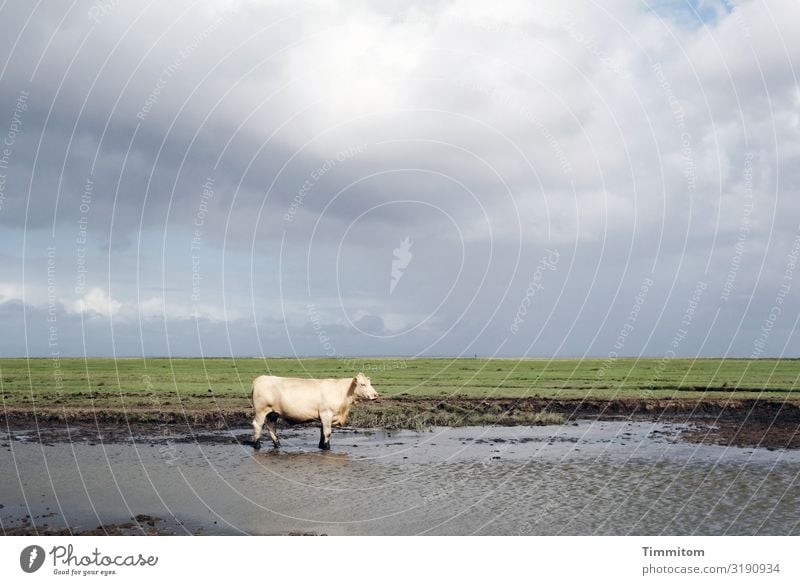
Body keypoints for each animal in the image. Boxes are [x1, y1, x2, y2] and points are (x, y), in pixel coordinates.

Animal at [250, 372, 378, 450]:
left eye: (370, 383)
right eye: (362, 384)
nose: (375, 395)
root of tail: (261, 378)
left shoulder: (324, 417)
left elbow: (322, 432)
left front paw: (321, 446)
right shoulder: (326, 414)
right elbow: (327, 433)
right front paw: (327, 447)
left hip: (273, 413)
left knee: (272, 427)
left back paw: (278, 445)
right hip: (261, 411)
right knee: (257, 425)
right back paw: (257, 445)